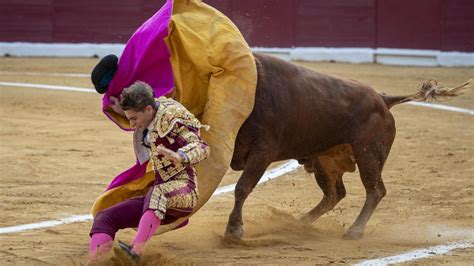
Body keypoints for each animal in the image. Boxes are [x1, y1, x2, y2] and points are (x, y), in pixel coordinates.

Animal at [226, 53, 470, 240]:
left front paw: (233, 230)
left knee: (375, 190)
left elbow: (242, 187)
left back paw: (354, 231)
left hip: (368, 156)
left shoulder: (263, 151)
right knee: (335, 194)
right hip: (325, 161)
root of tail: (382, 99)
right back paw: (298, 222)